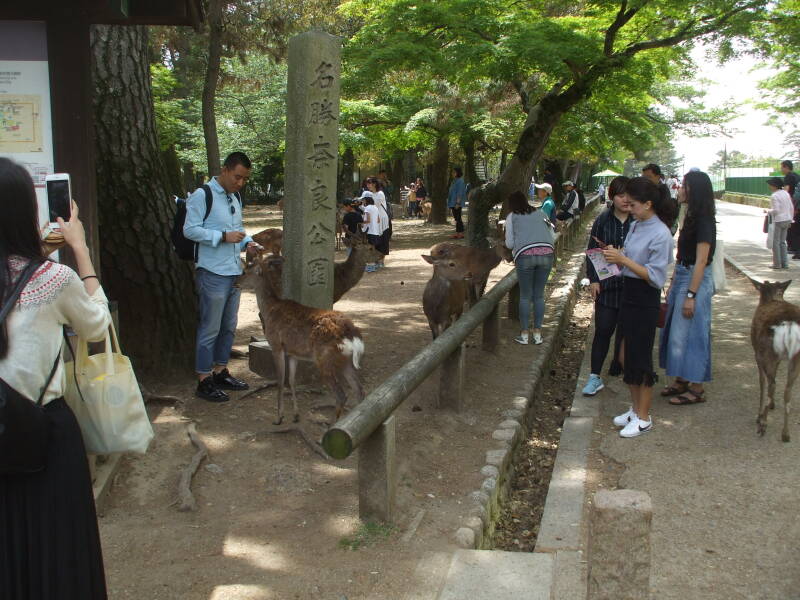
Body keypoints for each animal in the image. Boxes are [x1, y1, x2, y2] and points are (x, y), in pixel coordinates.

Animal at [241, 251, 366, 424]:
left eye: (246, 270)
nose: (235, 283)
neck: (269, 309)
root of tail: (353, 335)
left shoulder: (276, 345)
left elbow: (280, 381)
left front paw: (279, 418)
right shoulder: (293, 353)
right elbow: (292, 381)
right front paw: (295, 415)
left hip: (324, 359)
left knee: (341, 394)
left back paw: (330, 427)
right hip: (345, 361)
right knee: (359, 390)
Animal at [752, 278, 800, 442]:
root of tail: (790, 324)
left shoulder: (757, 353)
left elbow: (762, 382)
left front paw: (760, 414)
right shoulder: (778, 358)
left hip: (768, 352)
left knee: (772, 384)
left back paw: (762, 422)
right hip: (795, 357)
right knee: (787, 390)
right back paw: (785, 434)